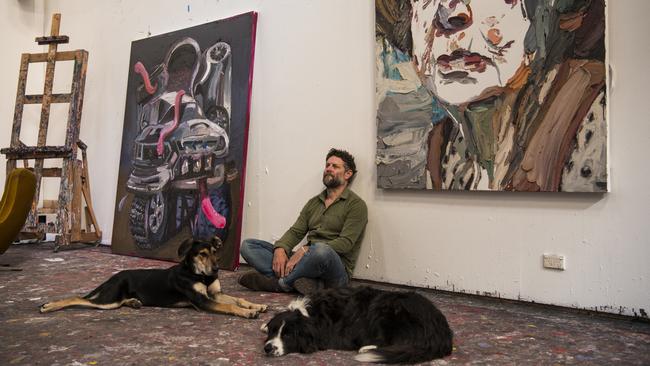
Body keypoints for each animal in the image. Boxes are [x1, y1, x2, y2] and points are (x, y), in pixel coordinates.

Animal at [39, 237, 266, 318]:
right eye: (202, 254)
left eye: (214, 252)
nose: (217, 269)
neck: (198, 274)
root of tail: (113, 277)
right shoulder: (202, 300)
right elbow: (230, 306)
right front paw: (248, 312)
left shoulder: (215, 294)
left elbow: (238, 299)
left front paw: (255, 305)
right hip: (109, 299)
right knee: (78, 298)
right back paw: (49, 306)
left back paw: (133, 302)